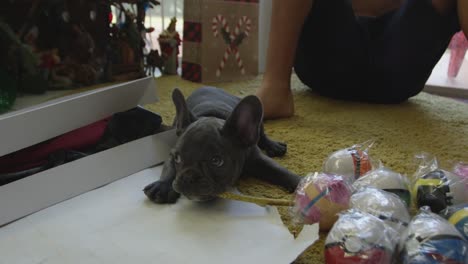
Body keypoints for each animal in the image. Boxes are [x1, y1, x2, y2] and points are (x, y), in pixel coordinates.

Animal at [144, 87, 300, 203]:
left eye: (217, 161)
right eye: (178, 158)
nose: (188, 177)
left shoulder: (257, 158)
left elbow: (280, 170)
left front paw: (301, 183)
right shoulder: (171, 152)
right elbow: (169, 169)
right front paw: (162, 186)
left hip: (258, 125)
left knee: (262, 136)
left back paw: (274, 146)